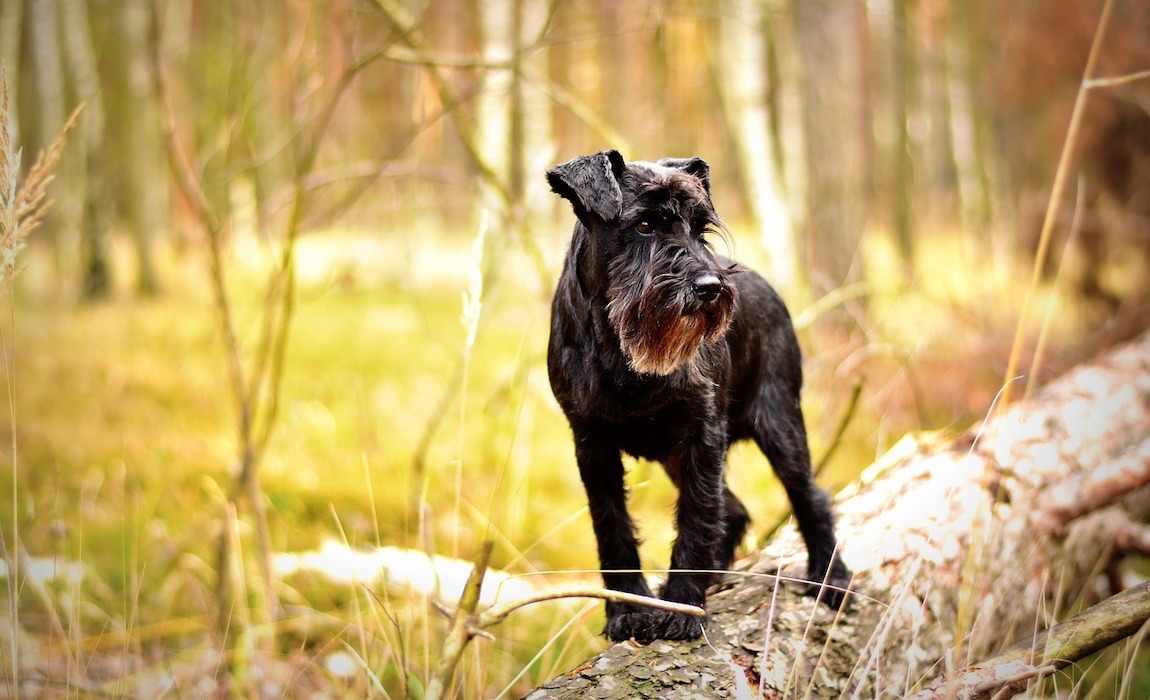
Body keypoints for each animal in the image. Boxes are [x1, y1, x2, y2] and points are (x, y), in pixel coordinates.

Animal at [542, 150, 851, 643]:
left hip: (781, 427)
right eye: (645, 225)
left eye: (700, 227)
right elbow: (612, 526)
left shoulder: (702, 437)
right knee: (737, 510)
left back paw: (831, 579)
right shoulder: (592, 445)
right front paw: (628, 609)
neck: (621, 354)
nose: (710, 287)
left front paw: (683, 606)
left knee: (810, 497)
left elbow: (697, 516)